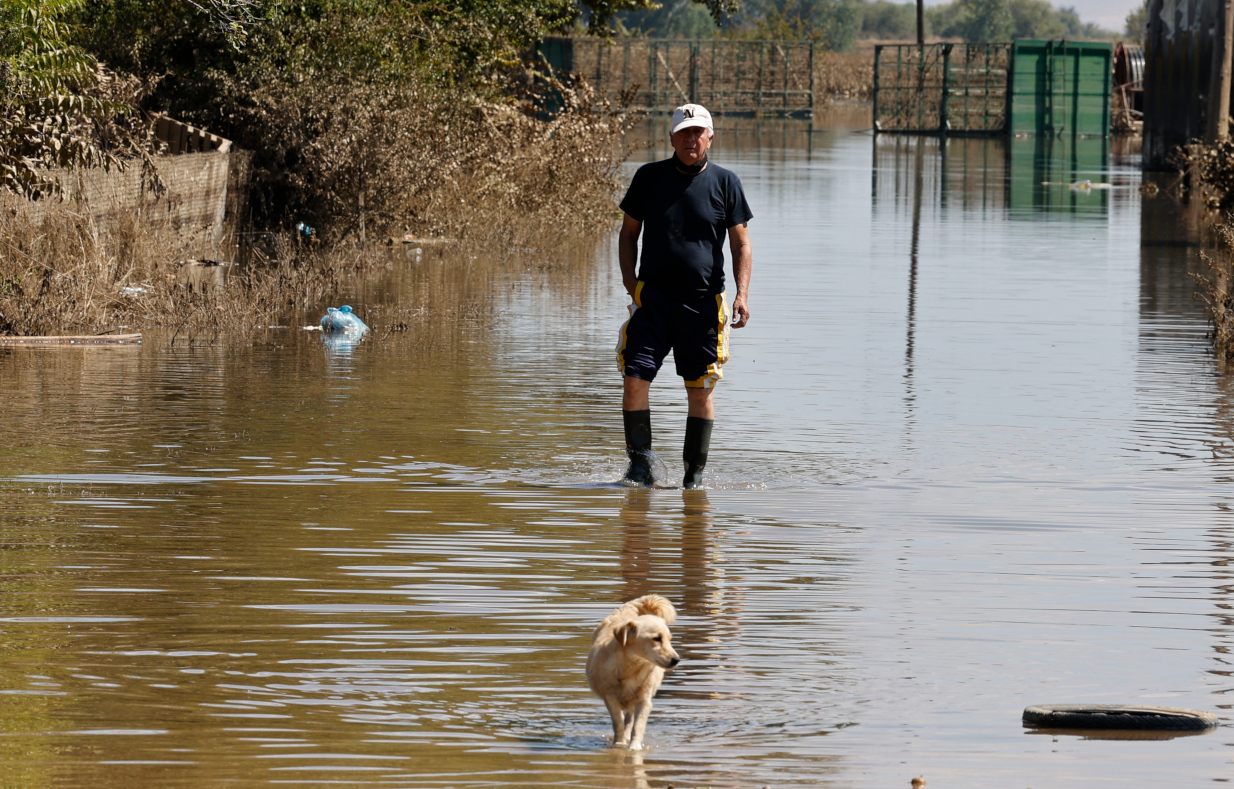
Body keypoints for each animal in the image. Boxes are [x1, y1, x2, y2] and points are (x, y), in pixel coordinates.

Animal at [584, 595, 681, 750]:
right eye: (656, 638)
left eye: (669, 639)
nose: (676, 660)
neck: (631, 668)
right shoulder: (610, 699)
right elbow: (618, 722)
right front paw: (619, 744)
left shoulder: (645, 701)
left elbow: (638, 726)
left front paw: (634, 747)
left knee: (629, 720)